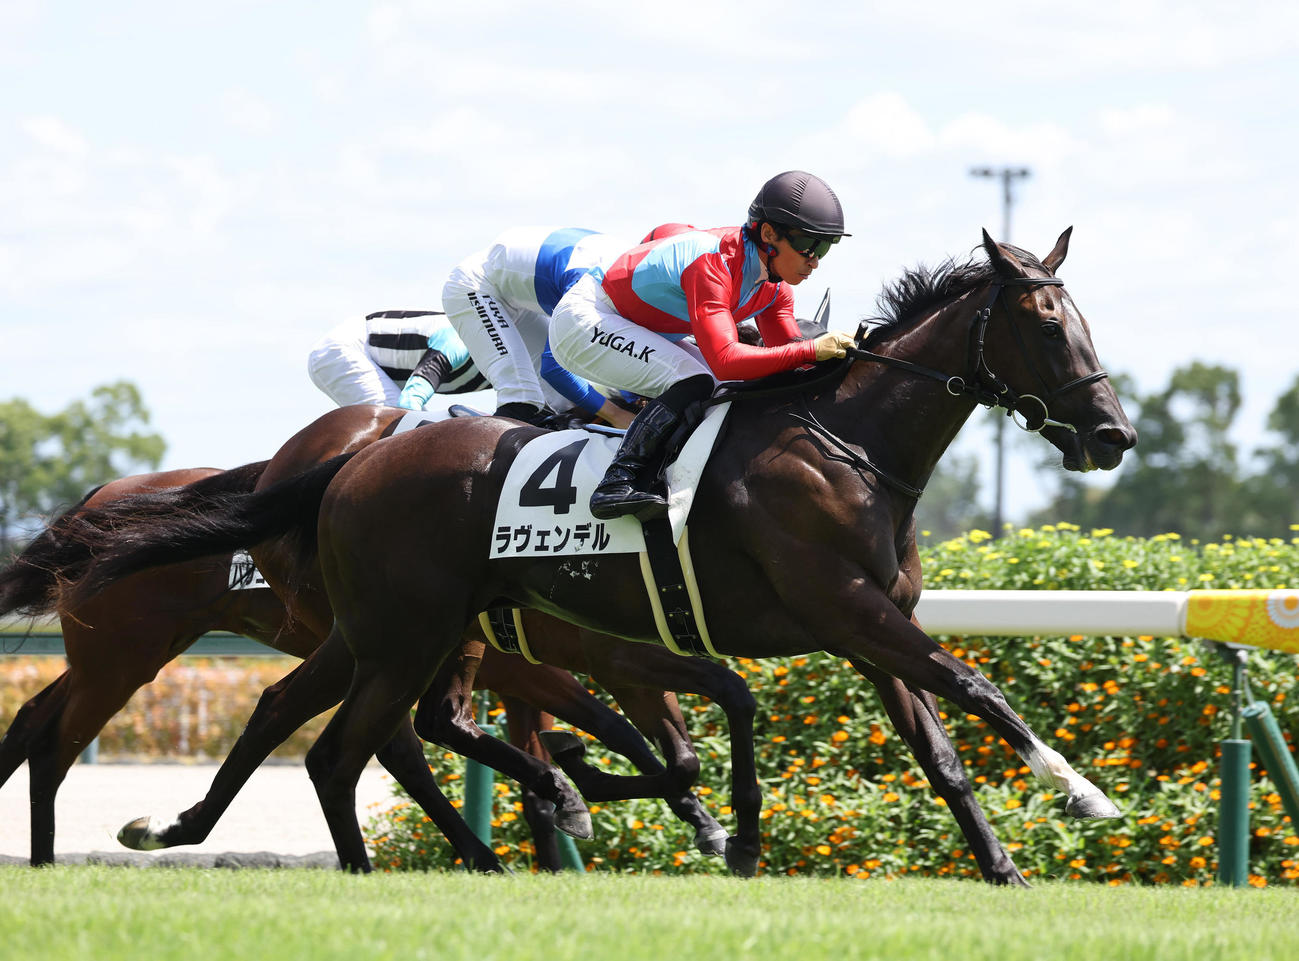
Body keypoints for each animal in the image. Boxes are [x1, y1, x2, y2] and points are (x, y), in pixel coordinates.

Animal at [0, 406, 735, 866]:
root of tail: (99, 499)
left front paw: (685, 818)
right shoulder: (540, 659)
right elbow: (607, 732)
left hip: (131, 652)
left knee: (35, 718)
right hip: (126, 656)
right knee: (58, 741)